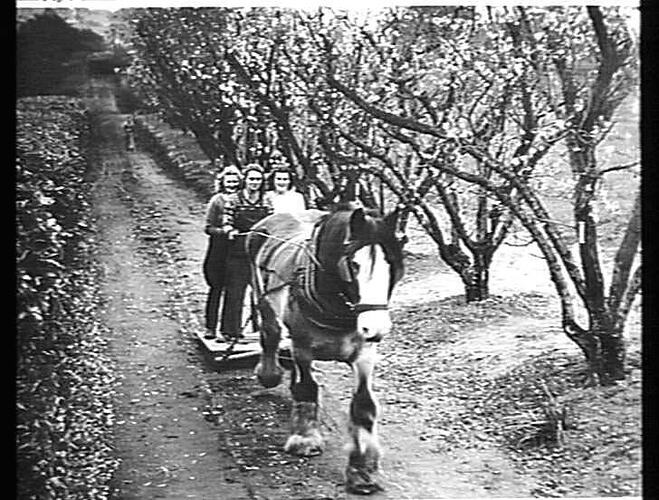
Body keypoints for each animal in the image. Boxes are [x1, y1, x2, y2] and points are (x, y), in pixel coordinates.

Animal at [245, 205, 404, 494]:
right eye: (354, 264)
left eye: (392, 265)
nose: (376, 328)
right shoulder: (302, 347)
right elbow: (306, 388)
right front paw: (304, 439)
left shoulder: (364, 353)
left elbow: (363, 405)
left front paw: (363, 470)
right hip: (263, 297)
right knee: (270, 334)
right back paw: (270, 372)